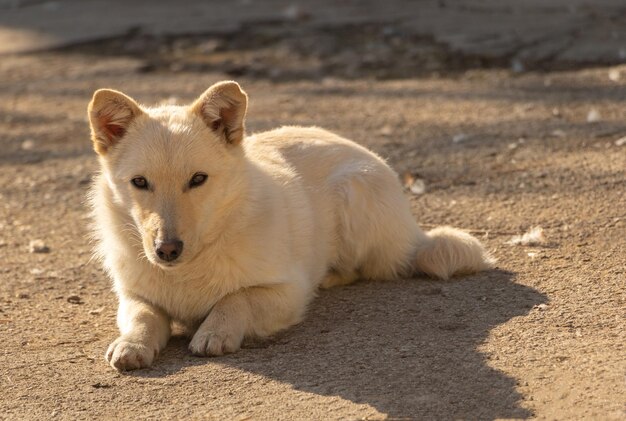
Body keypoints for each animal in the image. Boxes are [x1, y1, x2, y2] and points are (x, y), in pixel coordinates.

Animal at [86, 80, 492, 370]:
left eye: (198, 180)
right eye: (140, 182)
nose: (166, 250)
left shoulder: (287, 293)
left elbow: (236, 298)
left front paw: (215, 331)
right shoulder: (134, 296)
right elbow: (143, 317)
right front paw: (132, 344)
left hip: (353, 197)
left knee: (368, 269)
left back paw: (331, 275)